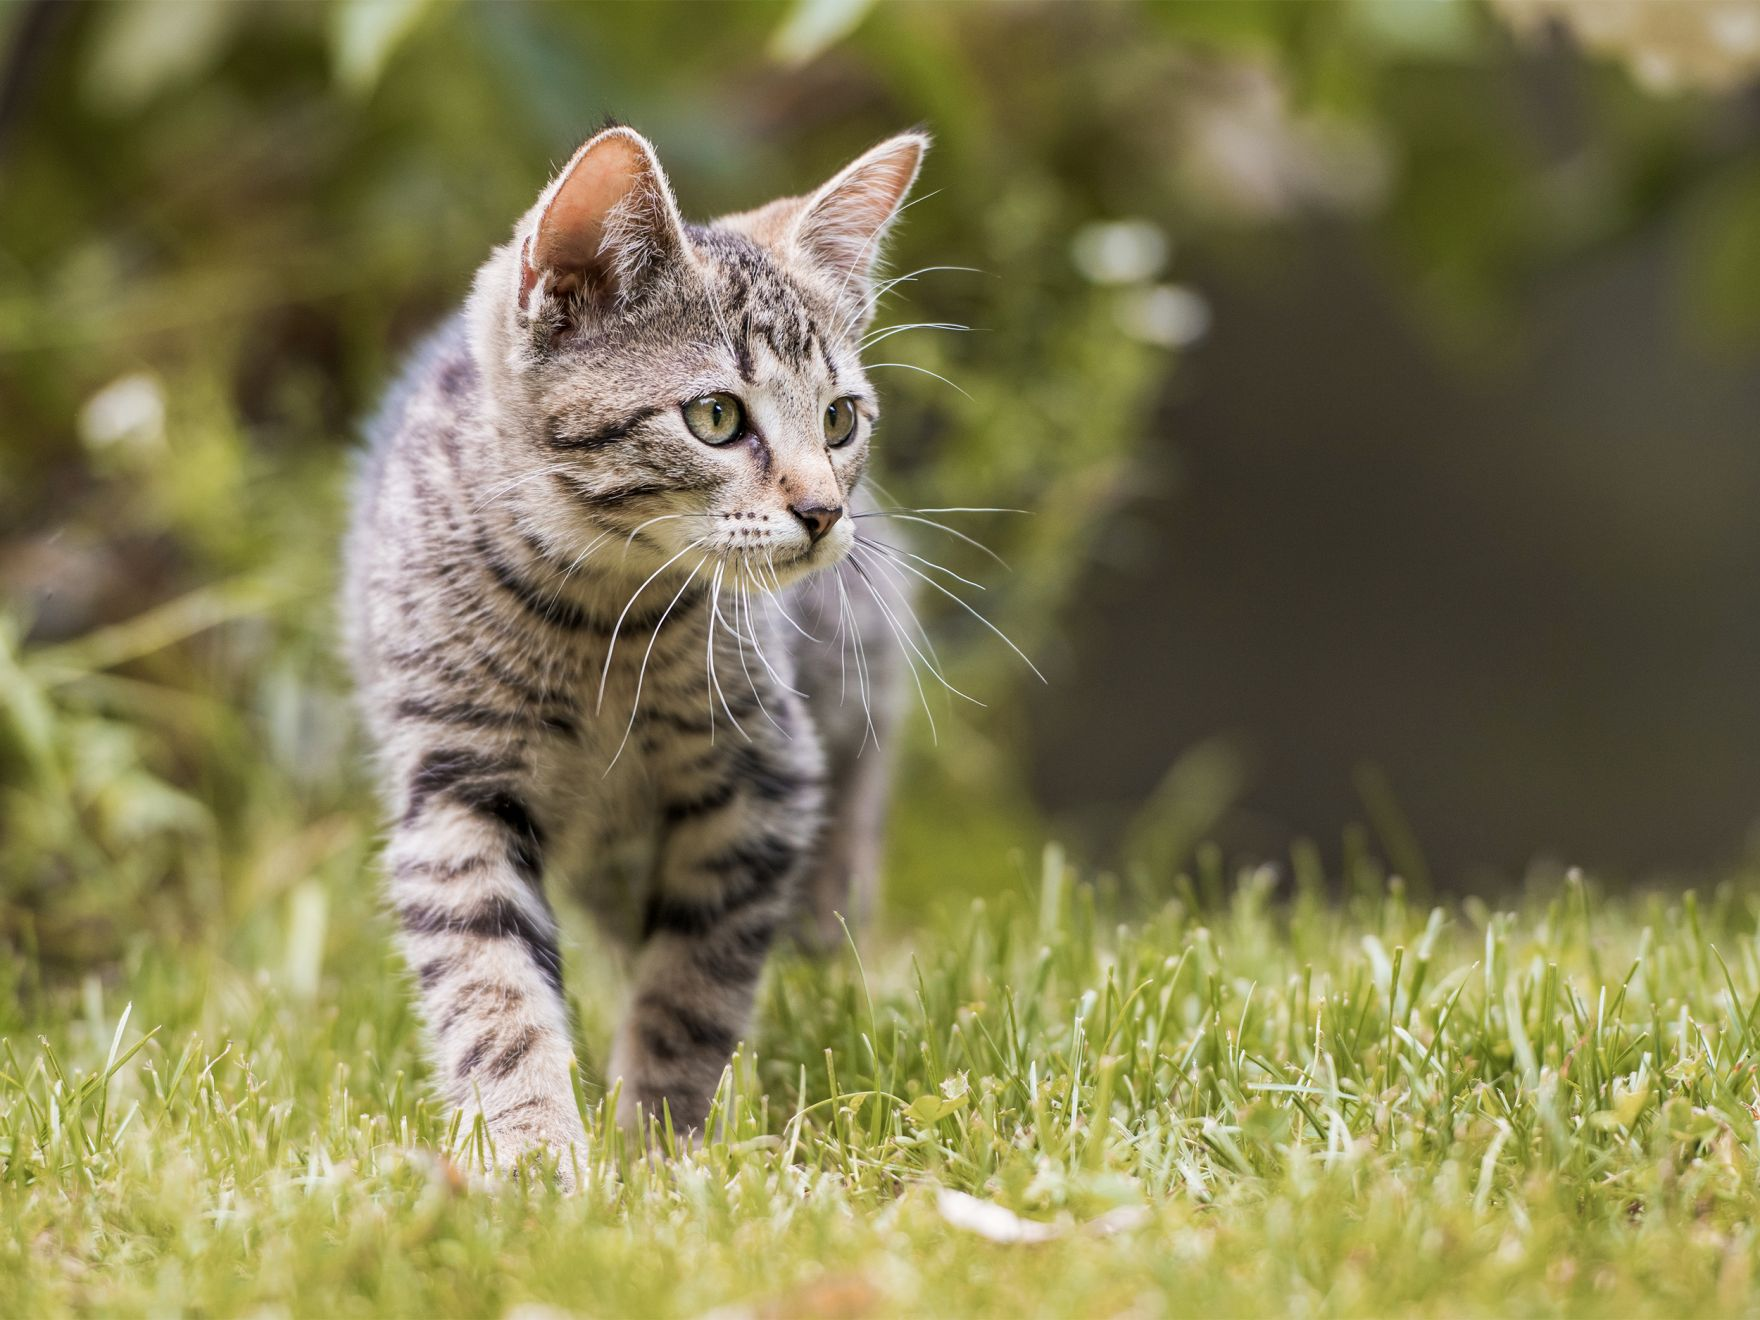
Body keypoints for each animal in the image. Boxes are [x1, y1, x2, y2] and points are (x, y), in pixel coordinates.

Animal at [337, 121, 929, 1175]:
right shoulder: (453, 792)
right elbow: (492, 989)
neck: (599, 621)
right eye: (716, 417)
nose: (825, 512)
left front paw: (662, 1146)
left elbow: (692, 987)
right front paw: (536, 1158)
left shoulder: (763, 783)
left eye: (839, 419)